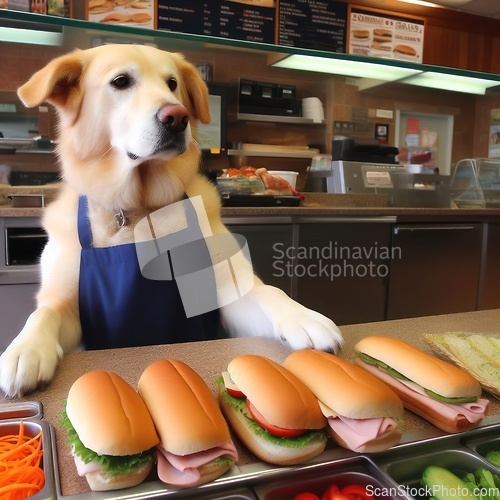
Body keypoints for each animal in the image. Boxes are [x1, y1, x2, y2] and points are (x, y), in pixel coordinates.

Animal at [0, 47, 344, 398]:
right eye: (120, 81)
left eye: (172, 83)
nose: (177, 117)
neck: (138, 209)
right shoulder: (67, 306)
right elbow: (44, 312)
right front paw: (25, 348)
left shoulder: (229, 291)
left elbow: (268, 292)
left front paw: (301, 316)